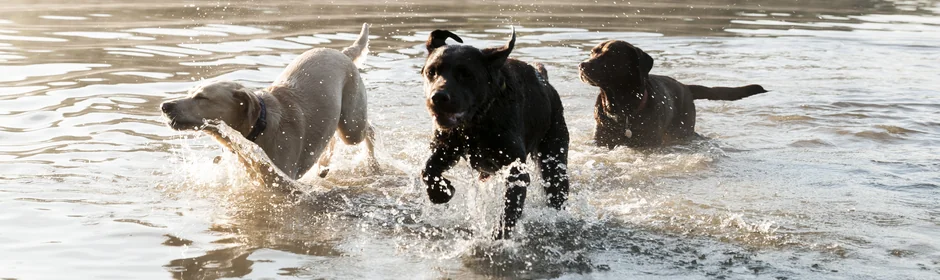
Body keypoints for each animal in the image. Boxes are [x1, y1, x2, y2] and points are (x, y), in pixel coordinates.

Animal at [162, 23, 374, 183]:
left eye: (202, 97)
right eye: (190, 93)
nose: (164, 106)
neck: (258, 128)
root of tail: (343, 53)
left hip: (351, 125)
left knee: (368, 130)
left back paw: (372, 164)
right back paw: (323, 165)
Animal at [420, 27, 568, 238]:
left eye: (466, 74)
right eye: (431, 72)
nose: (438, 97)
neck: (476, 125)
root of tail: (545, 81)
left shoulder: (515, 171)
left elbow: (509, 211)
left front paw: (498, 236)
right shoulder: (446, 147)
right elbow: (428, 170)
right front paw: (442, 192)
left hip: (553, 156)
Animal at [576, 40, 768, 149]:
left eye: (611, 55)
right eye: (592, 52)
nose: (582, 65)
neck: (622, 109)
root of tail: (686, 87)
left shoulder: (650, 142)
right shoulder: (602, 141)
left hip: (682, 130)